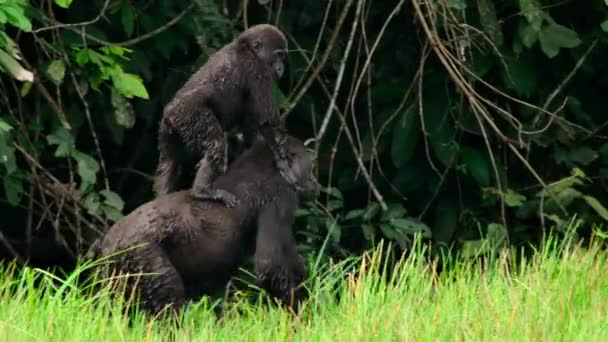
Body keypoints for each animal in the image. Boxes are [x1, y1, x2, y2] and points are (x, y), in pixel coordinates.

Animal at [92, 134, 318, 316]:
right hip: (141, 250)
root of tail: (108, 241)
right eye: (309, 165)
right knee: (169, 298)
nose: (314, 183)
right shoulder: (282, 195)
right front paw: (302, 315)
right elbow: (269, 264)